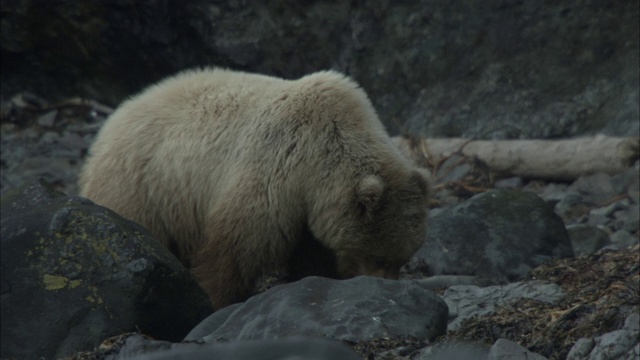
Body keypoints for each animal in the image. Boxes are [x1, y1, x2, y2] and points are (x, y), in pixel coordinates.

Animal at [79, 68, 430, 310]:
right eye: (378, 256)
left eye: (402, 258)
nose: (385, 287)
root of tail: (115, 116)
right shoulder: (277, 166)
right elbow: (237, 245)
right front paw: (215, 297)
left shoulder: (307, 201)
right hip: (143, 183)